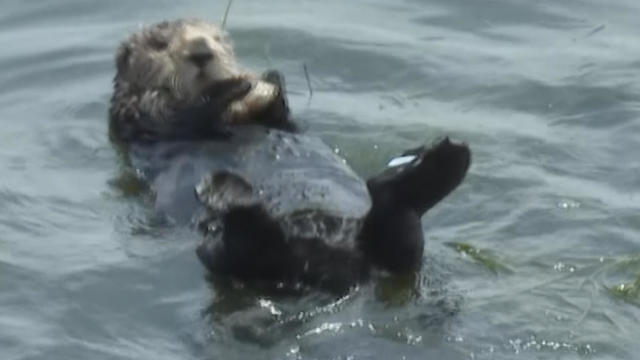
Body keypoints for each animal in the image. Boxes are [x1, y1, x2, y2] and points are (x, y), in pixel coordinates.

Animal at [109, 19, 294, 143]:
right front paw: (236, 85)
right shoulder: (142, 114)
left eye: (216, 38)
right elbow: (186, 121)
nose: (201, 52)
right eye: (160, 45)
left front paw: (272, 77)